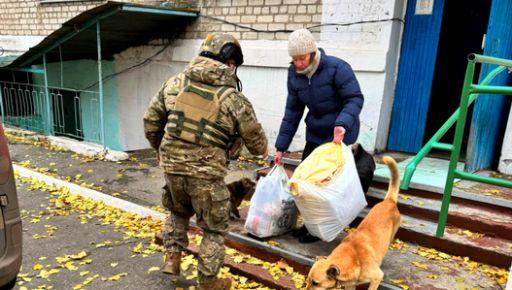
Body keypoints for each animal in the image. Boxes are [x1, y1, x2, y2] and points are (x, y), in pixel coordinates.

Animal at [306, 157, 402, 288]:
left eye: (316, 283)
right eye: (308, 280)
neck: (355, 258)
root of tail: (389, 200)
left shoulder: (377, 277)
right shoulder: (350, 285)